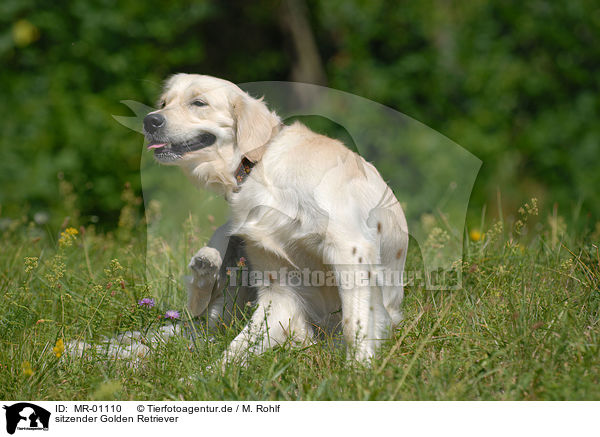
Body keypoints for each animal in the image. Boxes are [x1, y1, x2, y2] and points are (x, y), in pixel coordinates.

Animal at [143, 73, 410, 362]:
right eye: (164, 102)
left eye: (198, 103)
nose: (150, 120)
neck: (256, 165)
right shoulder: (279, 287)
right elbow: (234, 350)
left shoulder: (350, 249)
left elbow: (354, 324)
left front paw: (360, 368)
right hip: (226, 238)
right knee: (203, 308)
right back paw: (205, 264)